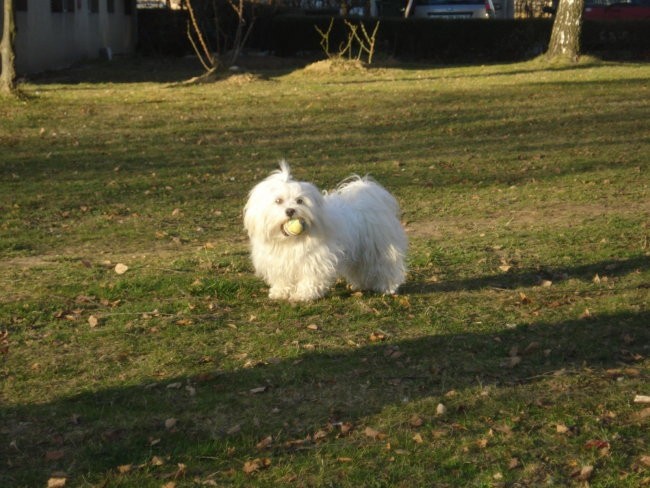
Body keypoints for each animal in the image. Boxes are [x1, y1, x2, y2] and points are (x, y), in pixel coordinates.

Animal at [243, 163, 404, 302]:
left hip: (379, 248)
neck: (289, 241)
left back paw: (388, 287)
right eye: (278, 201)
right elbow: (282, 279)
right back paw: (360, 285)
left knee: (386, 266)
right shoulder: (278, 262)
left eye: (299, 201)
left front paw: (304, 295)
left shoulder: (315, 259)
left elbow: (311, 277)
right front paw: (280, 292)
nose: (290, 211)